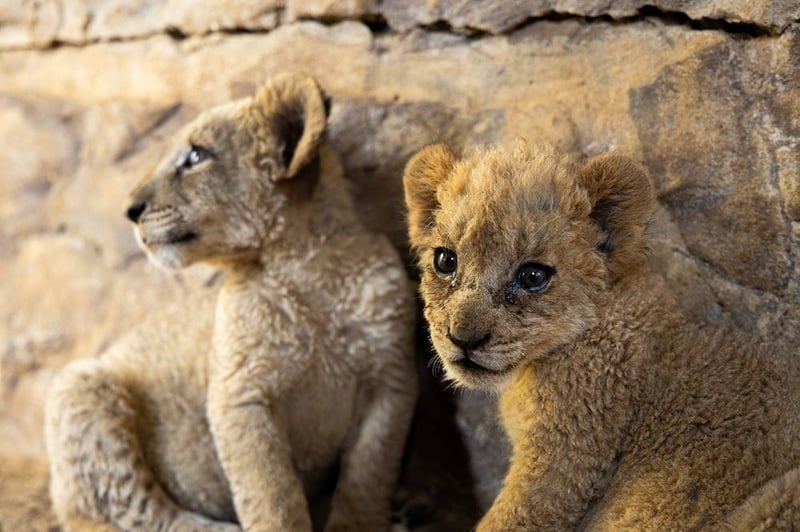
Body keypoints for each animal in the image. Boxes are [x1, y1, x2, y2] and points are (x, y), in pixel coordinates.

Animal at [45, 73, 417, 532]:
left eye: (195, 156)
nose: (130, 210)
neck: (306, 264)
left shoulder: (390, 381)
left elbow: (366, 479)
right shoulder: (240, 395)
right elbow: (272, 495)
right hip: (79, 389)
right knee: (138, 510)